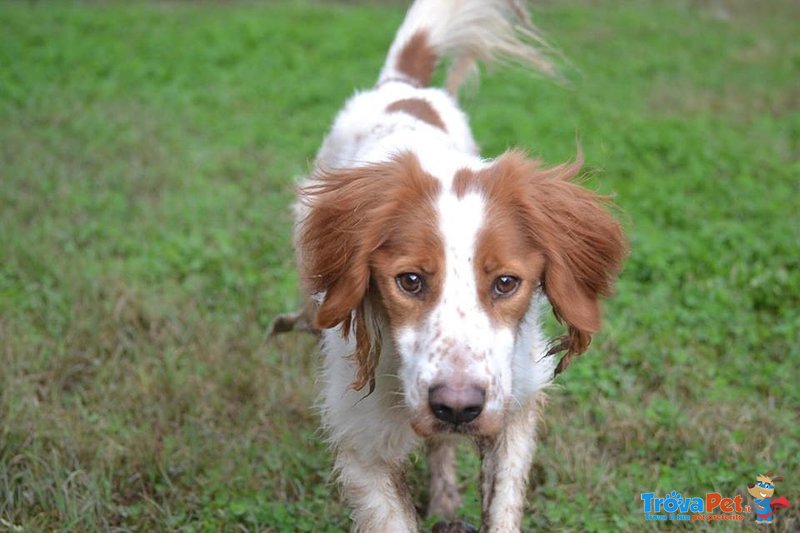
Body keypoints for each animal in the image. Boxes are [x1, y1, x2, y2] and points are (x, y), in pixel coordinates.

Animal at [290, 1, 628, 528]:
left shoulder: (513, 405)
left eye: (506, 282)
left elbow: (502, 502)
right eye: (409, 280)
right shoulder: (361, 443)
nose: (456, 407)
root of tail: (402, 87)